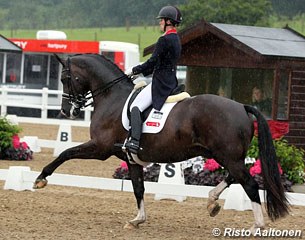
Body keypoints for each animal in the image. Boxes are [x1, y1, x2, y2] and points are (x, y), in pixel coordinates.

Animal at [33, 54, 288, 231]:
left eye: (65, 78)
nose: (67, 111)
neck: (111, 97)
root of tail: (241, 107)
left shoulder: (100, 147)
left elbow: (65, 153)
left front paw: (40, 179)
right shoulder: (131, 159)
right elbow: (138, 188)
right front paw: (137, 220)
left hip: (228, 156)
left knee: (249, 184)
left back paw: (256, 225)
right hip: (226, 155)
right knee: (236, 177)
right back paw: (212, 202)